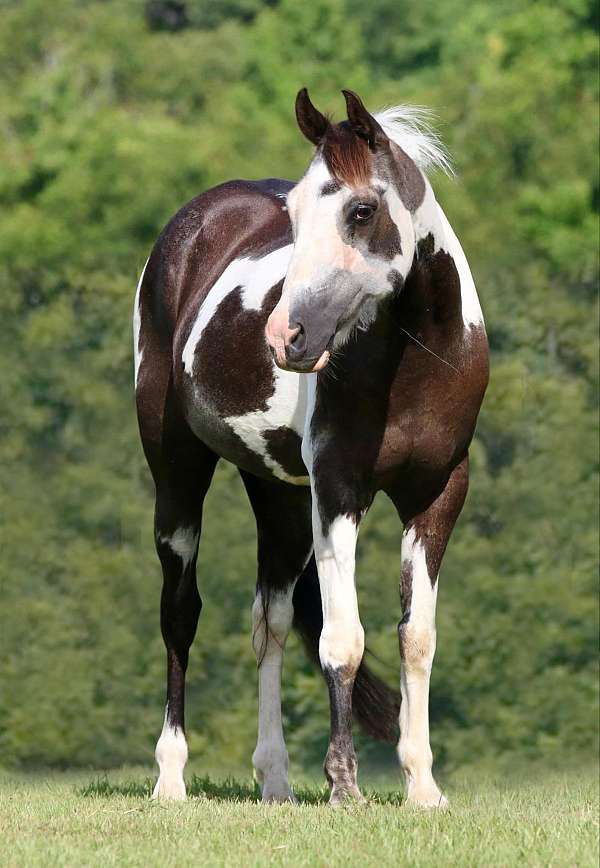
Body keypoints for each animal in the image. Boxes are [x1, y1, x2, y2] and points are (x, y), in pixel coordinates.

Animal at [135, 88, 488, 808]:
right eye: (294, 214)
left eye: (361, 210)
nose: (285, 337)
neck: (418, 361)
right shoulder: (339, 492)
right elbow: (342, 640)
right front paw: (345, 786)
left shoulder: (438, 494)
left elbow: (416, 637)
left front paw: (423, 786)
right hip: (178, 472)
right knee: (180, 613)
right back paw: (170, 777)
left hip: (279, 499)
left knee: (267, 621)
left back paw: (275, 783)